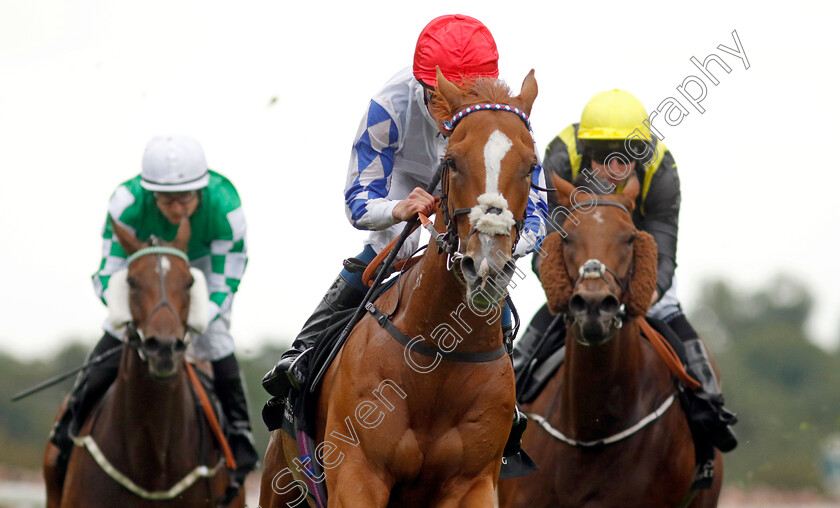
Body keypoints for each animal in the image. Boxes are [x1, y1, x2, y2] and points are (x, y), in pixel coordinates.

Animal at [260, 68, 540, 508]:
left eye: (531, 166)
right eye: (451, 161)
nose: (486, 266)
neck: (439, 357)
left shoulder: (474, 483)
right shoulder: (358, 473)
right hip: (279, 483)